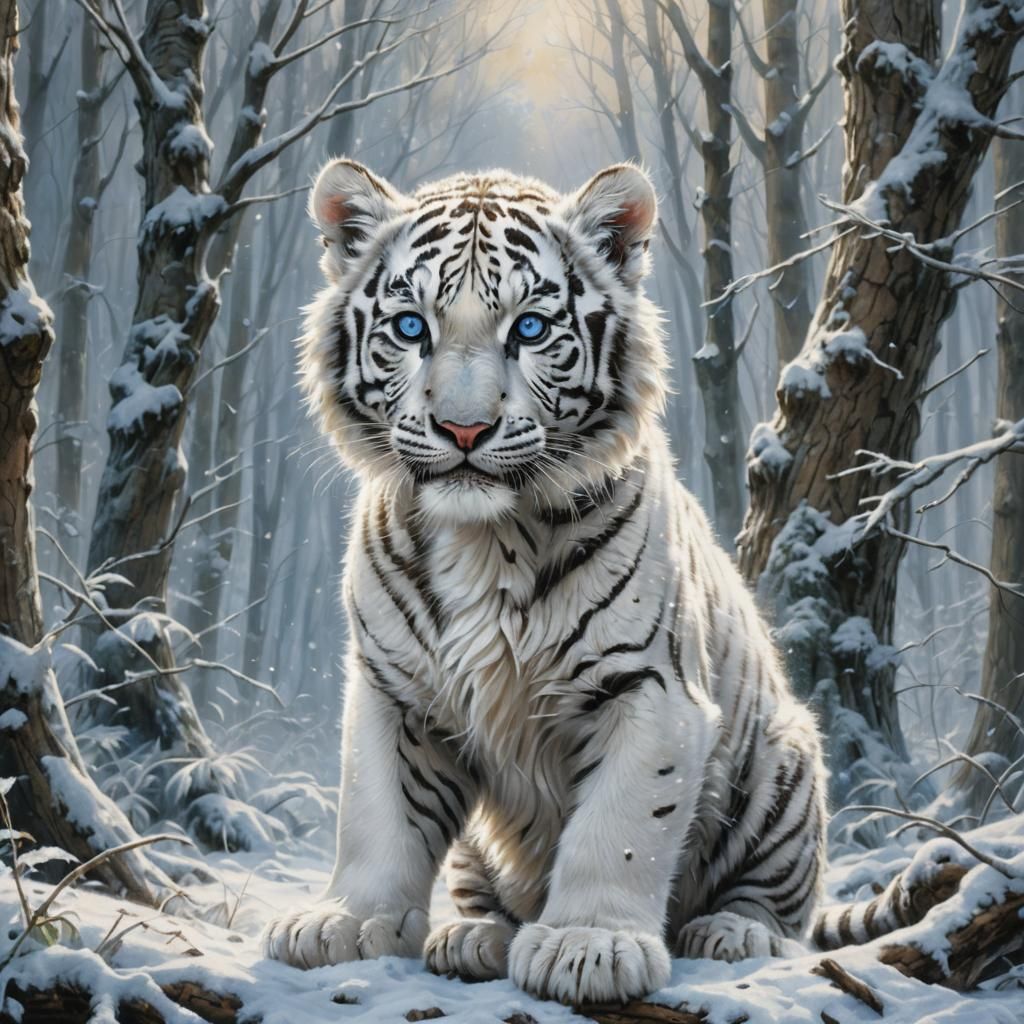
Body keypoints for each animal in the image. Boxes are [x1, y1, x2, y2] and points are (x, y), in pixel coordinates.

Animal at [262, 158, 829, 1005]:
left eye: (528, 330)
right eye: (411, 329)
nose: (464, 429)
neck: (484, 536)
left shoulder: (648, 687)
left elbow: (620, 828)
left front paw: (587, 947)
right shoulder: (394, 688)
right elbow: (377, 812)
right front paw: (344, 923)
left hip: (784, 754)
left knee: (777, 905)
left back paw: (733, 932)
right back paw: (476, 937)